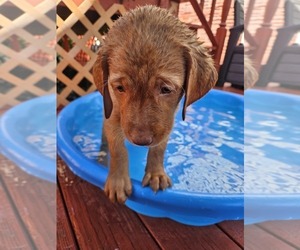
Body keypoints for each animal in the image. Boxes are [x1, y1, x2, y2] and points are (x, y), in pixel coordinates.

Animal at [92, 4, 217, 203]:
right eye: (120, 88)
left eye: (165, 89)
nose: (140, 141)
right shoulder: (112, 115)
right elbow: (118, 149)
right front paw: (118, 180)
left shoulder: (167, 122)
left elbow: (159, 148)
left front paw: (156, 173)